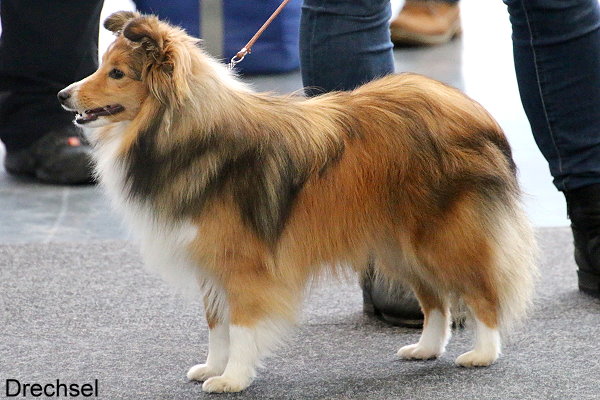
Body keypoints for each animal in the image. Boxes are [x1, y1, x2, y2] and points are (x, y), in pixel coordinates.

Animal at [59, 11, 540, 394]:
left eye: (118, 73)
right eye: (104, 66)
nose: (63, 95)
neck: (182, 128)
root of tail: (469, 108)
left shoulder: (242, 264)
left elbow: (241, 324)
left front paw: (233, 379)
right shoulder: (209, 260)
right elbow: (216, 324)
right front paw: (212, 368)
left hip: (441, 237)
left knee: (481, 292)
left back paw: (482, 353)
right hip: (397, 243)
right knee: (435, 299)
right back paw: (424, 348)